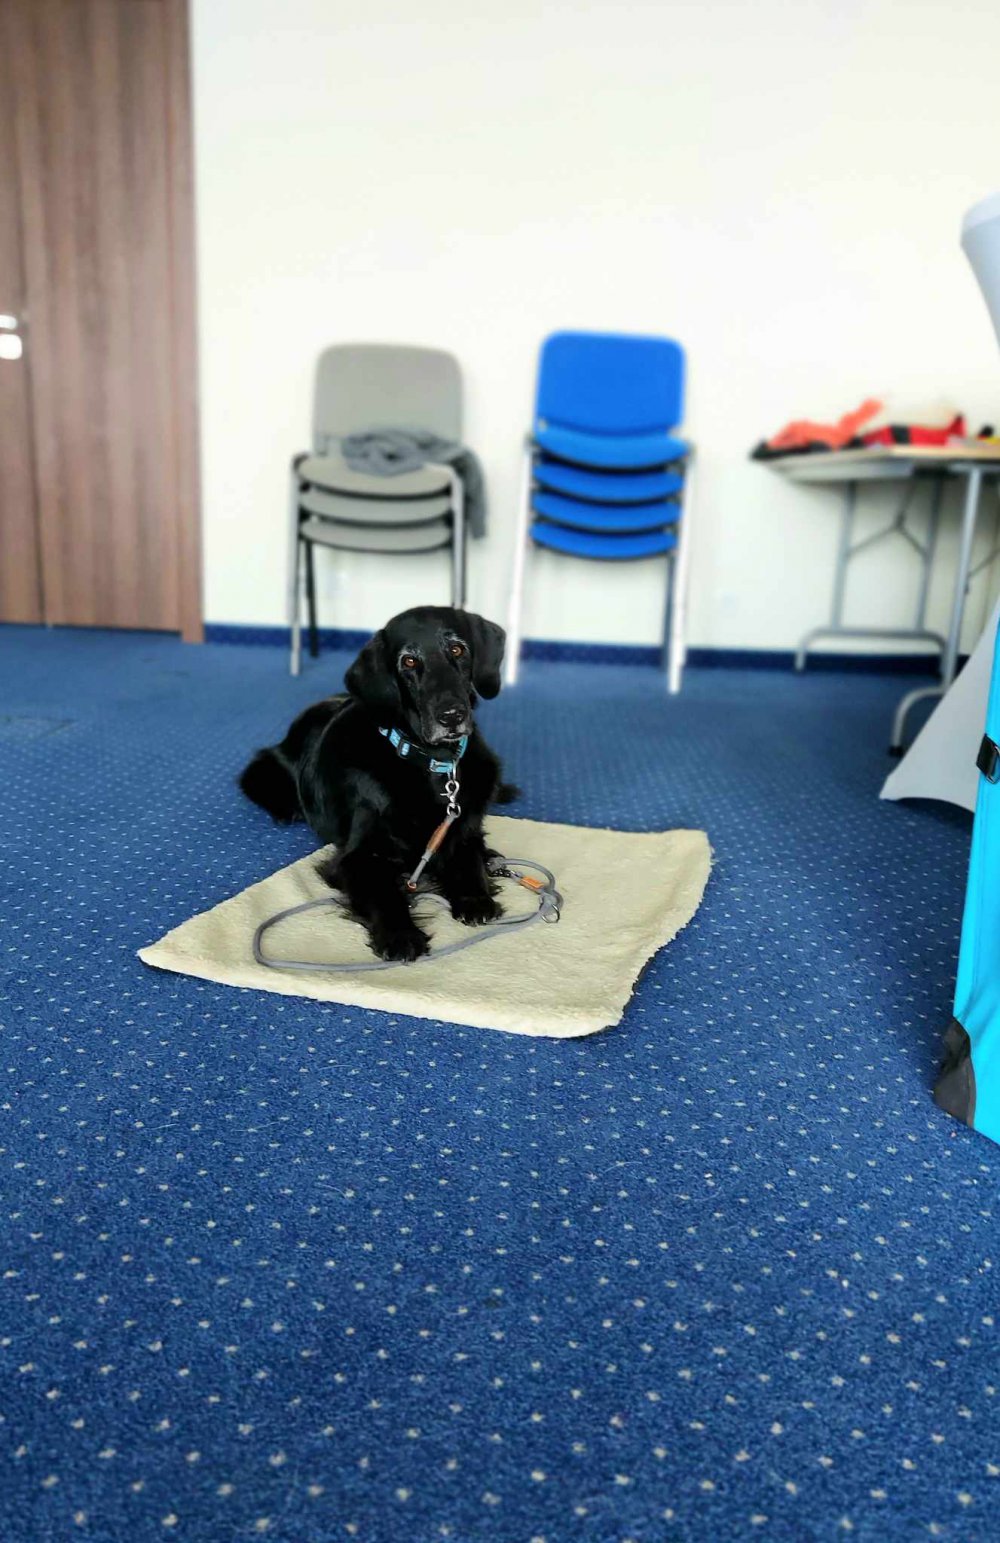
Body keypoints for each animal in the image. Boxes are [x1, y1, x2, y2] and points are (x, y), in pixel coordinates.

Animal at [239, 606, 518, 963]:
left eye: (457, 649)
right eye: (408, 661)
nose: (451, 716)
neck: (432, 763)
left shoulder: (461, 827)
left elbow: (468, 859)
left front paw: (474, 897)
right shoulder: (357, 857)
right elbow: (384, 894)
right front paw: (401, 935)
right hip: (269, 766)